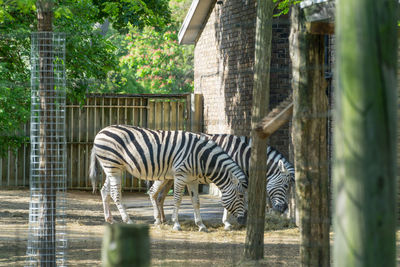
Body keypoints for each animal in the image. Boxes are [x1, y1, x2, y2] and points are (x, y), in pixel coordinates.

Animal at [89, 126, 248, 232]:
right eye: (241, 196)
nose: (244, 220)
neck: (201, 157)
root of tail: (101, 132)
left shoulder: (193, 180)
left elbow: (196, 202)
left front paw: (201, 225)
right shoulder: (180, 175)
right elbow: (177, 200)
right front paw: (176, 224)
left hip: (113, 168)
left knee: (105, 191)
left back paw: (110, 219)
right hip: (112, 166)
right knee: (115, 193)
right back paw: (128, 220)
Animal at [148, 134, 296, 230]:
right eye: (286, 185)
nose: (284, 208)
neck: (244, 156)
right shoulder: (232, 179)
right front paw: (227, 223)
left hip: (170, 178)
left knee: (159, 196)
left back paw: (163, 220)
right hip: (166, 176)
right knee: (152, 192)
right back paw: (158, 220)